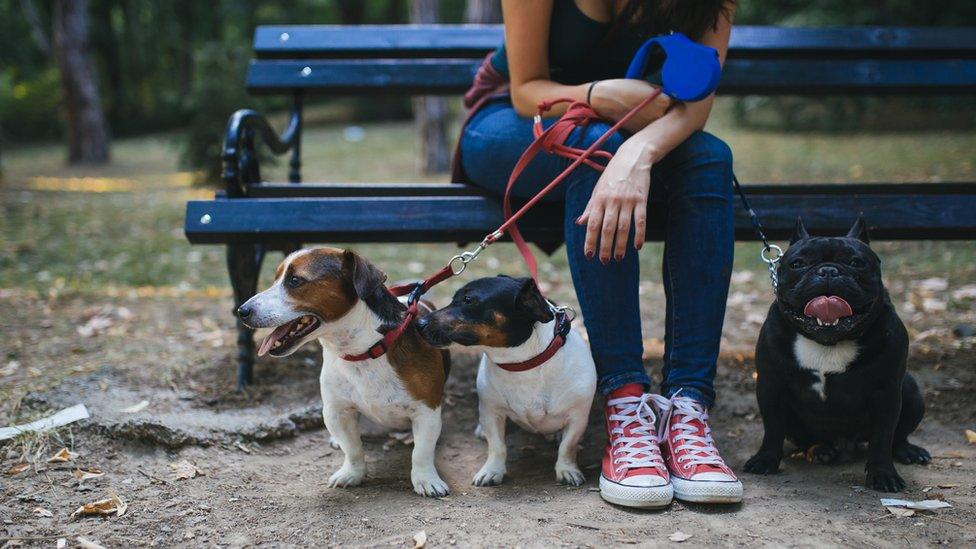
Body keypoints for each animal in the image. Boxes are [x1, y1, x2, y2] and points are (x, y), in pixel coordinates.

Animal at [238, 248, 452, 496]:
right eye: (275, 279)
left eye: (295, 280)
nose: (242, 311)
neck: (364, 351)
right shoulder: (336, 412)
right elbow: (353, 449)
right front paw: (352, 473)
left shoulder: (427, 411)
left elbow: (421, 452)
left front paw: (425, 479)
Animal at [414, 276, 596, 486]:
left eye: (468, 300)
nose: (418, 323)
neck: (522, 364)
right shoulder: (491, 413)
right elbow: (497, 446)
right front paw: (492, 471)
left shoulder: (578, 418)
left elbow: (568, 446)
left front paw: (567, 469)